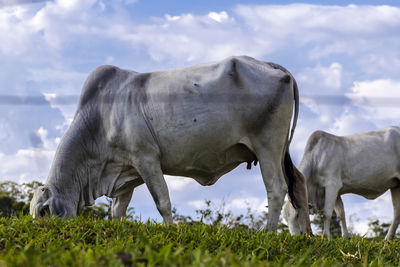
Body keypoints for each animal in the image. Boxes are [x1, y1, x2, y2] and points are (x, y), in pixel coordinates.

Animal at [30, 56, 312, 234]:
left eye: (43, 212)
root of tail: (270, 65)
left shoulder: (146, 159)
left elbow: (162, 201)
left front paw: (170, 229)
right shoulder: (125, 169)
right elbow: (117, 210)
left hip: (268, 146)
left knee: (276, 188)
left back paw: (268, 233)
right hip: (279, 150)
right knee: (298, 183)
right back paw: (306, 235)